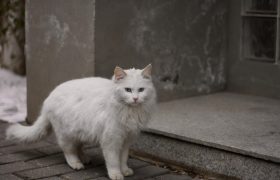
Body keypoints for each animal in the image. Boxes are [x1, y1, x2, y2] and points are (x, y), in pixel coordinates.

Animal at [6, 64, 156, 180]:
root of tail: (48, 100)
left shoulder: (126, 140)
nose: (135, 99)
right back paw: (76, 164)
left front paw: (125, 171)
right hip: (66, 135)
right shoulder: (111, 141)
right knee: (69, 151)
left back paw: (84, 158)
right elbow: (113, 161)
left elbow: (123, 159)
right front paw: (116, 174)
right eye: (128, 90)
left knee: (78, 147)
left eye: (141, 90)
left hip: (80, 132)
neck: (131, 112)